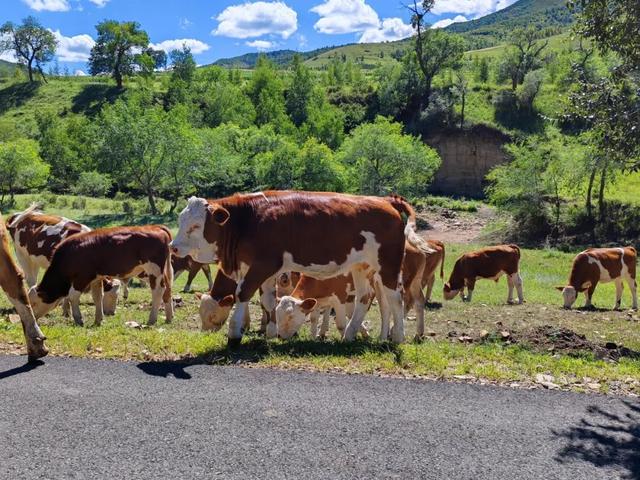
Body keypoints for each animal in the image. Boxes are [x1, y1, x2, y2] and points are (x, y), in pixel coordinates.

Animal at [28, 226, 174, 326]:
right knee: (167, 289)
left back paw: (152, 319)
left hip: (153, 270)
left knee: (158, 291)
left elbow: (73, 296)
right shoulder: (96, 278)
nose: (32, 319)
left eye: (34, 303)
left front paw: (79, 319)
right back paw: (169, 317)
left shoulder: (82, 277)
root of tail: (156, 227)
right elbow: (97, 297)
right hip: (162, 271)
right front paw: (98, 320)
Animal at [171, 189, 430, 344]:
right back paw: (349, 335)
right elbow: (268, 301)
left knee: (395, 299)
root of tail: (386, 200)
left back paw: (397, 337)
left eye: (195, 226)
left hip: (388, 266)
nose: (173, 247)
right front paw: (271, 333)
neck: (249, 220)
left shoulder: (262, 266)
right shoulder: (264, 270)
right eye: (181, 220)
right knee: (364, 299)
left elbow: (242, 294)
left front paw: (234, 333)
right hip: (361, 266)